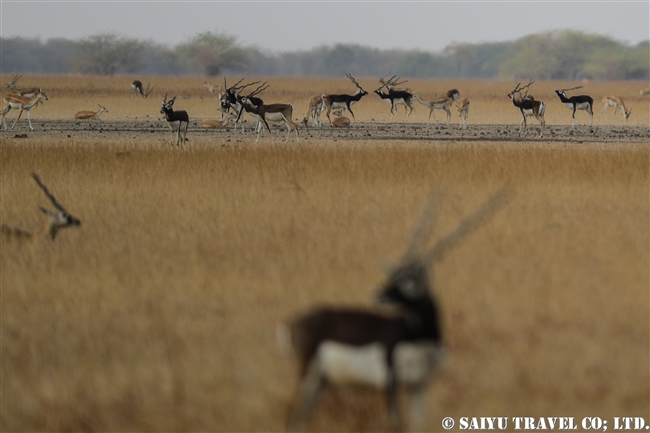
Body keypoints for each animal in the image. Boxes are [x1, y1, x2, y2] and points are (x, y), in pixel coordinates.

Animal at [280, 187, 512, 430]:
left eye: (408, 281)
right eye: (394, 276)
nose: (378, 294)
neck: (418, 338)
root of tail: (292, 324)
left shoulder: (419, 386)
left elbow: (419, 424)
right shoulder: (390, 382)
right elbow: (395, 423)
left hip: (322, 382)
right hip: (309, 377)